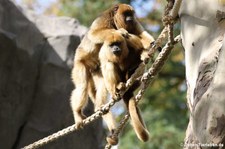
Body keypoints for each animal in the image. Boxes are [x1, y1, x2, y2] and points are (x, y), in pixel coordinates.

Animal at [70, 3, 155, 140]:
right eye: (126, 14)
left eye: (131, 14)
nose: (130, 19)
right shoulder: (103, 18)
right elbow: (94, 33)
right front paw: (120, 32)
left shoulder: (134, 23)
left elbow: (141, 35)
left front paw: (151, 46)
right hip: (80, 64)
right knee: (82, 86)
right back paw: (77, 113)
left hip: (97, 69)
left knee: (102, 84)